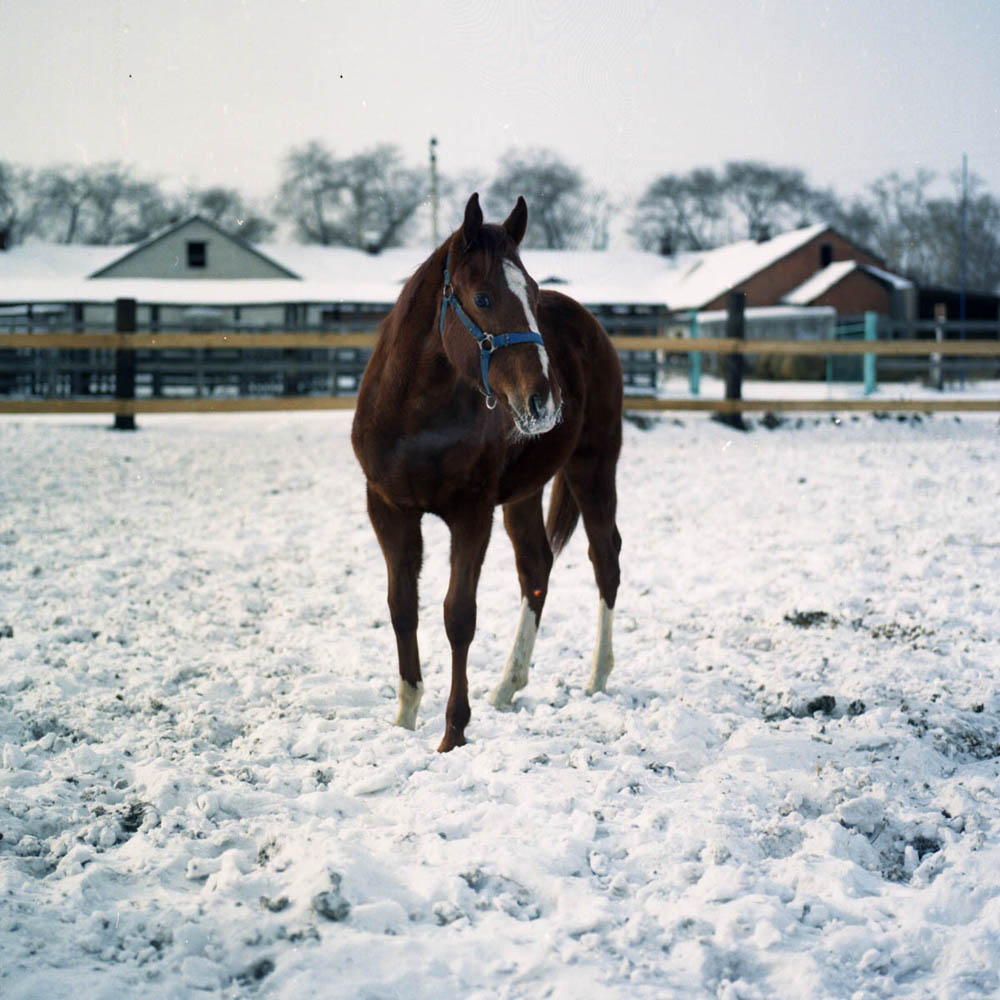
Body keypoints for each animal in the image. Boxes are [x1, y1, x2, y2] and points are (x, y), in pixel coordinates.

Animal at [350, 191, 616, 752]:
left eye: (531, 293)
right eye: (484, 298)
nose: (544, 401)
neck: (414, 417)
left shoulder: (471, 516)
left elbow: (458, 616)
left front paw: (453, 733)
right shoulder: (388, 511)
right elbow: (402, 605)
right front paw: (405, 716)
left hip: (595, 467)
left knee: (606, 559)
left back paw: (598, 675)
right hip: (523, 493)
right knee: (536, 566)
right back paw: (508, 685)